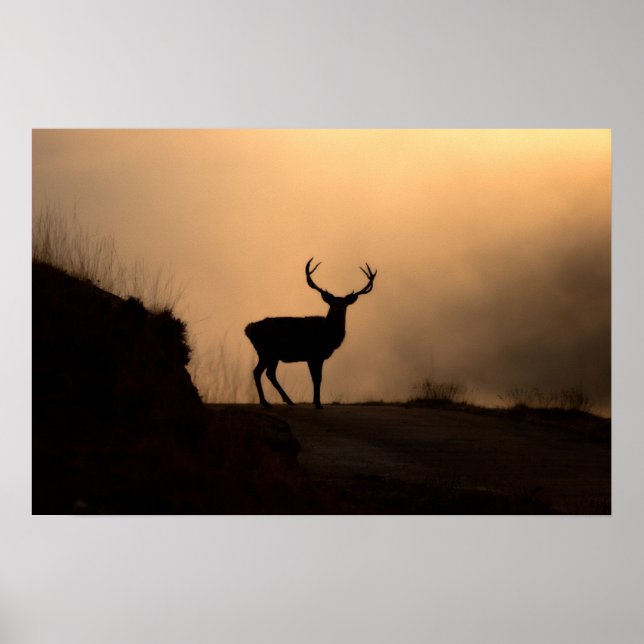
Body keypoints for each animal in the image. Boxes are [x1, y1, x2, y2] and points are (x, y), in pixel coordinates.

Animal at [245, 258, 377, 409]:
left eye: (344, 304)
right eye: (332, 303)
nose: (338, 310)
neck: (328, 335)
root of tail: (248, 329)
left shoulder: (314, 357)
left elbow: (316, 378)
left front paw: (315, 401)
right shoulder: (314, 354)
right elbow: (317, 378)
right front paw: (318, 403)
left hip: (272, 354)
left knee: (269, 373)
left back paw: (288, 401)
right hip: (266, 351)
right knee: (258, 372)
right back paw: (266, 402)